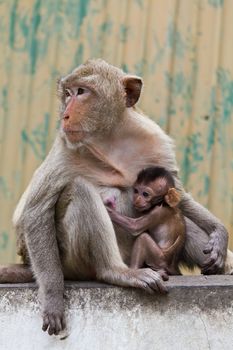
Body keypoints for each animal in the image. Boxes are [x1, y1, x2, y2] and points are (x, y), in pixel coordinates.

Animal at [0, 58, 229, 334]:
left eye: (81, 92)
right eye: (67, 93)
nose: (65, 114)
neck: (109, 138)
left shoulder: (154, 140)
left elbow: (177, 195)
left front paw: (219, 234)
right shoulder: (65, 149)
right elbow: (34, 212)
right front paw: (53, 298)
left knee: (171, 212)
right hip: (72, 260)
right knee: (81, 191)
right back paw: (116, 272)